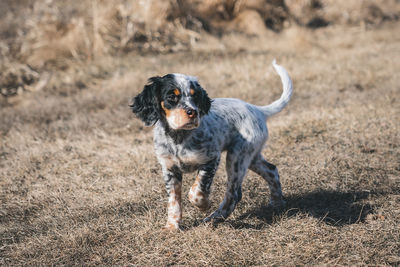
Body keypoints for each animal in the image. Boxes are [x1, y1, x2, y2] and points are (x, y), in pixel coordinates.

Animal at [131, 60, 294, 230]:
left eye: (195, 96)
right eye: (171, 97)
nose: (193, 112)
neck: (179, 138)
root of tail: (257, 109)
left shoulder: (211, 159)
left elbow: (197, 190)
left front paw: (203, 205)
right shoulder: (169, 168)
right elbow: (174, 201)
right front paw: (172, 226)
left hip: (237, 158)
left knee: (233, 194)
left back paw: (214, 217)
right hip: (250, 156)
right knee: (271, 170)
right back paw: (277, 203)